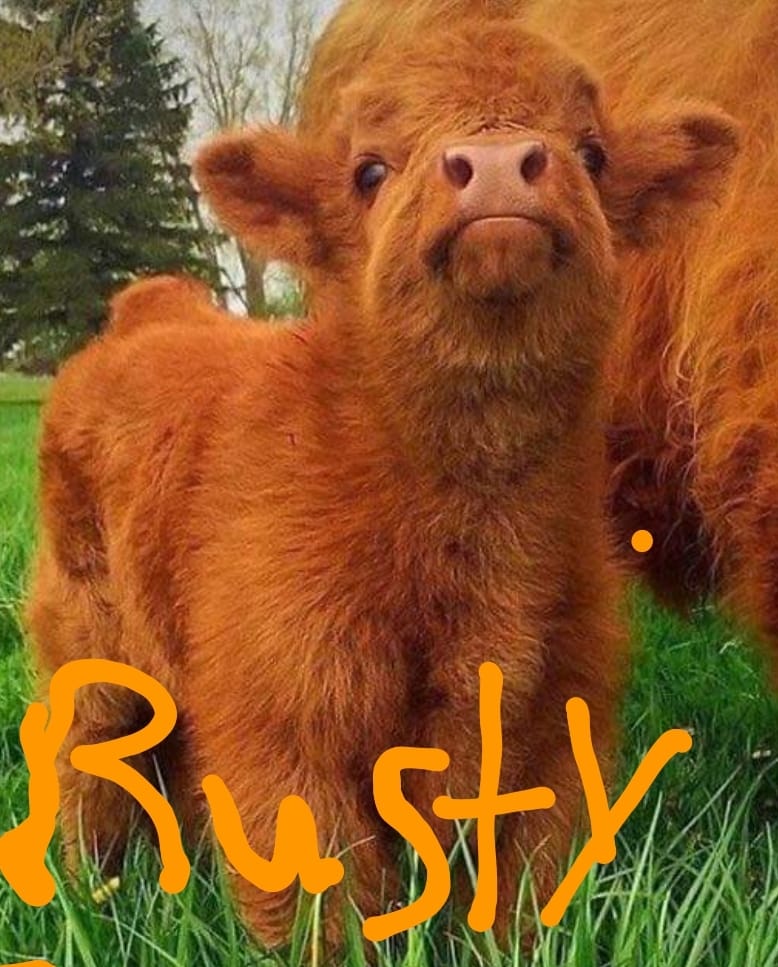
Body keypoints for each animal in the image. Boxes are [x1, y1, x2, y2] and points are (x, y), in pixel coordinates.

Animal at [25, 11, 737, 953]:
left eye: (593, 153)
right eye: (368, 169)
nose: (498, 162)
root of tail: (153, 310)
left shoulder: (553, 722)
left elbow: (518, 892)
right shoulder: (286, 724)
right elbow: (329, 903)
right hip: (90, 644)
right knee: (91, 764)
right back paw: (93, 892)